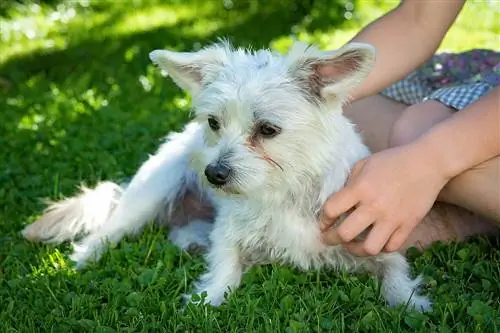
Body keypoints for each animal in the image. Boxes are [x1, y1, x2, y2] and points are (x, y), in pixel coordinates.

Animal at [21, 40, 432, 310]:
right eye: (214, 123)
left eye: (267, 129)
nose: (213, 174)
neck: (285, 189)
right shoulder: (229, 235)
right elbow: (223, 271)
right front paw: (205, 302)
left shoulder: (374, 238)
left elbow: (396, 274)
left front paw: (410, 302)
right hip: (148, 194)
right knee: (104, 234)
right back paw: (79, 262)